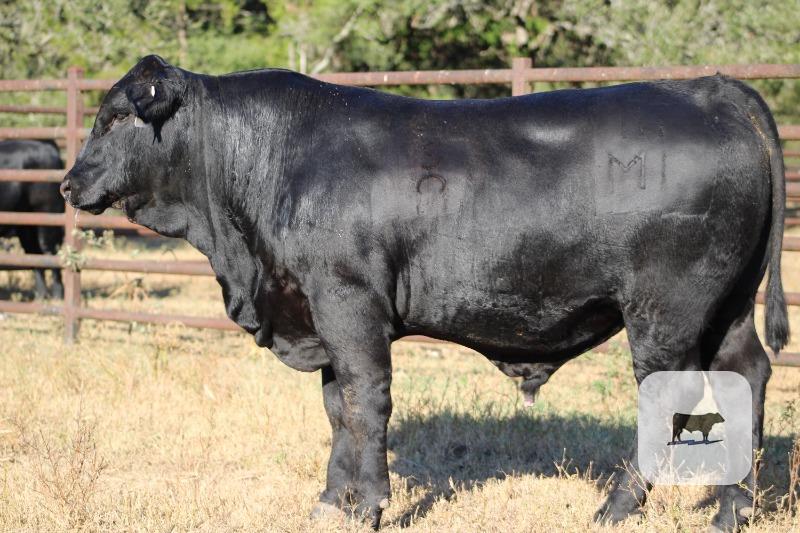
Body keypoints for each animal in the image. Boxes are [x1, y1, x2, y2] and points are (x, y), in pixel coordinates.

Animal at [0, 140, 64, 299]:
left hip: (47, 217)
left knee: (50, 253)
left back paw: (57, 296)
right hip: (26, 228)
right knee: (35, 256)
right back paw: (40, 296)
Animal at [60, 55, 788, 532]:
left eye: (117, 117)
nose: (69, 183)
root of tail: (713, 89)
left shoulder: (350, 304)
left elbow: (367, 402)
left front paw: (370, 505)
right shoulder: (322, 312)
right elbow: (337, 408)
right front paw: (332, 502)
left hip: (666, 307)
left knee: (668, 395)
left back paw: (615, 507)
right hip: (726, 306)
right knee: (746, 372)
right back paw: (733, 508)